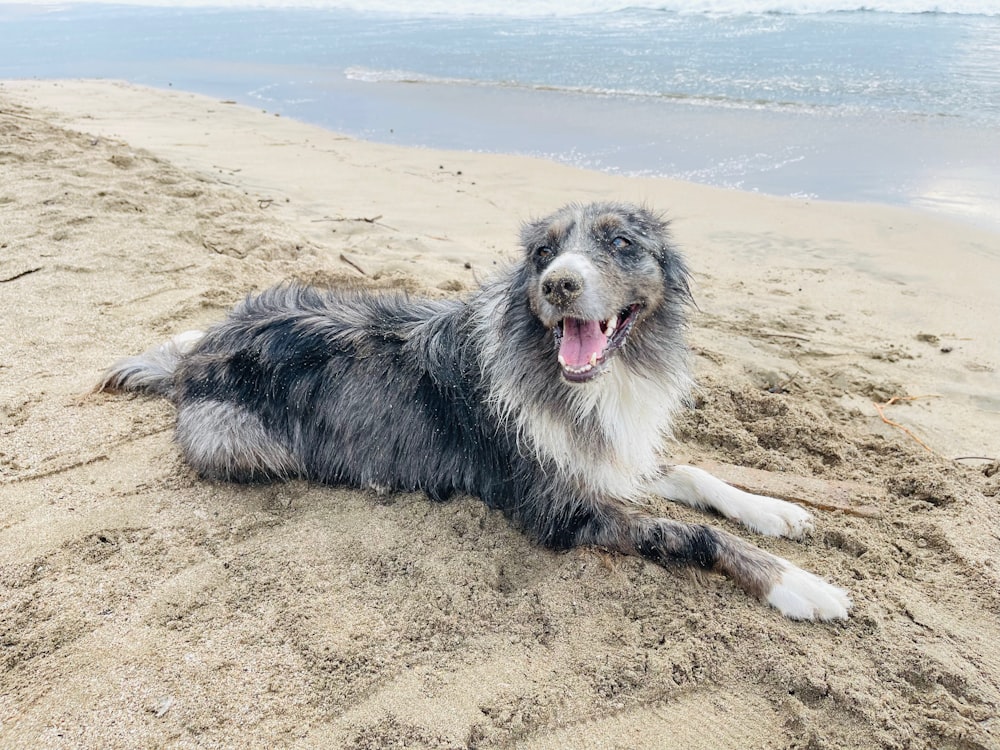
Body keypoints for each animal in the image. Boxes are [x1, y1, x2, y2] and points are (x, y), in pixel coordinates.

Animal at [97, 201, 852, 624]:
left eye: (621, 244)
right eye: (543, 252)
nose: (559, 283)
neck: (582, 380)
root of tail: (201, 357)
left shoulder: (605, 448)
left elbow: (694, 474)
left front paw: (775, 511)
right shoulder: (558, 504)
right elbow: (693, 533)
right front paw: (799, 584)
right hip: (239, 440)